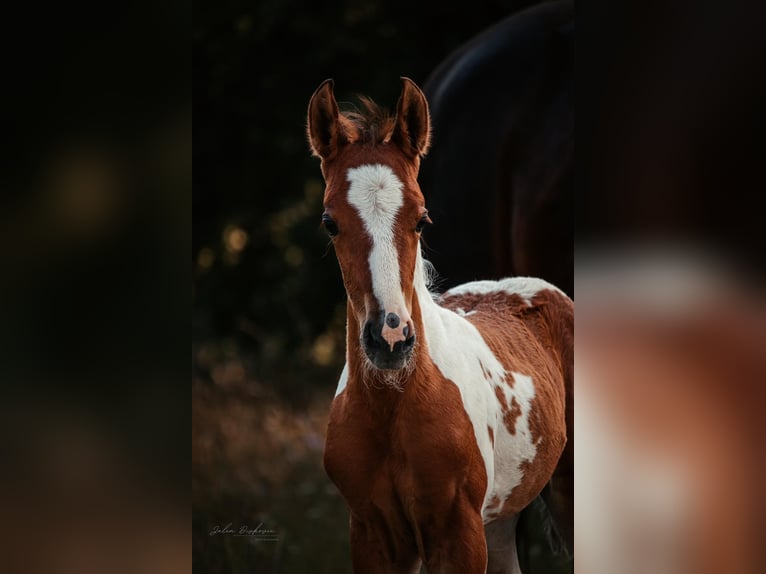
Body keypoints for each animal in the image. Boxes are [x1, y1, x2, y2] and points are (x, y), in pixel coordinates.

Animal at [307, 77, 573, 573]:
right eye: (330, 223)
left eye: (421, 218)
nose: (390, 338)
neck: (394, 405)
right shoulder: (372, 534)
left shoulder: (458, 533)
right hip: (500, 520)